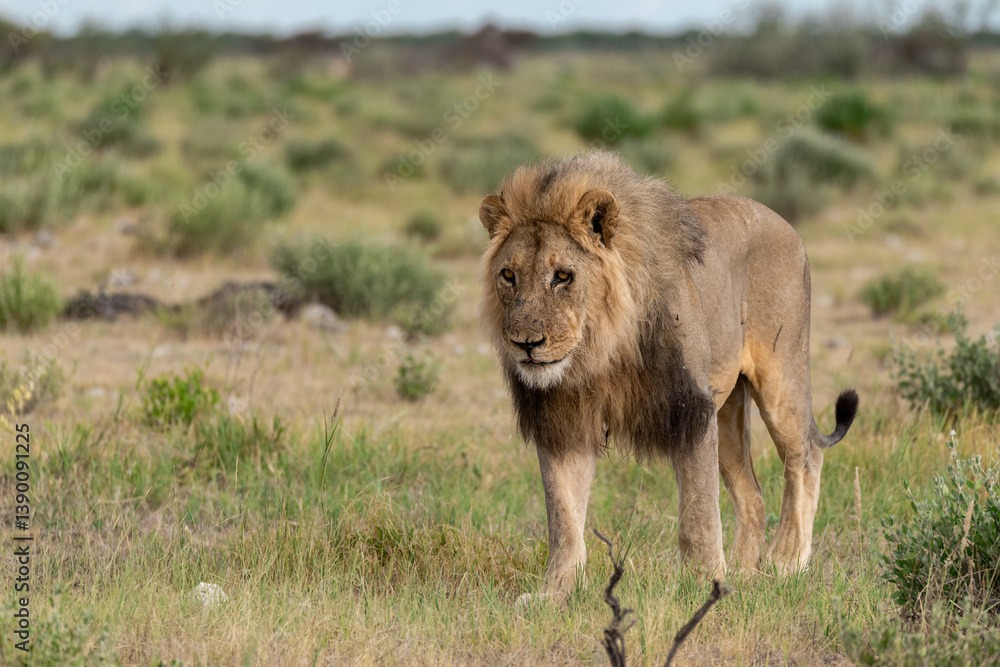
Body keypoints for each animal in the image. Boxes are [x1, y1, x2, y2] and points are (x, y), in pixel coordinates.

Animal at [478, 151, 858, 605]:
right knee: (752, 494)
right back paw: (747, 574)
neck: (602, 347)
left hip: (781, 375)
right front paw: (554, 593)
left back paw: (787, 562)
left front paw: (705, 584)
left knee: (805, 457)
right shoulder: (562, 421)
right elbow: (563, 515)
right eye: (508, 275)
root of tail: (784, 223)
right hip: (727, 409)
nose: (526, 343)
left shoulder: (690, 410)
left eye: (563, 276)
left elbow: (698, 512)